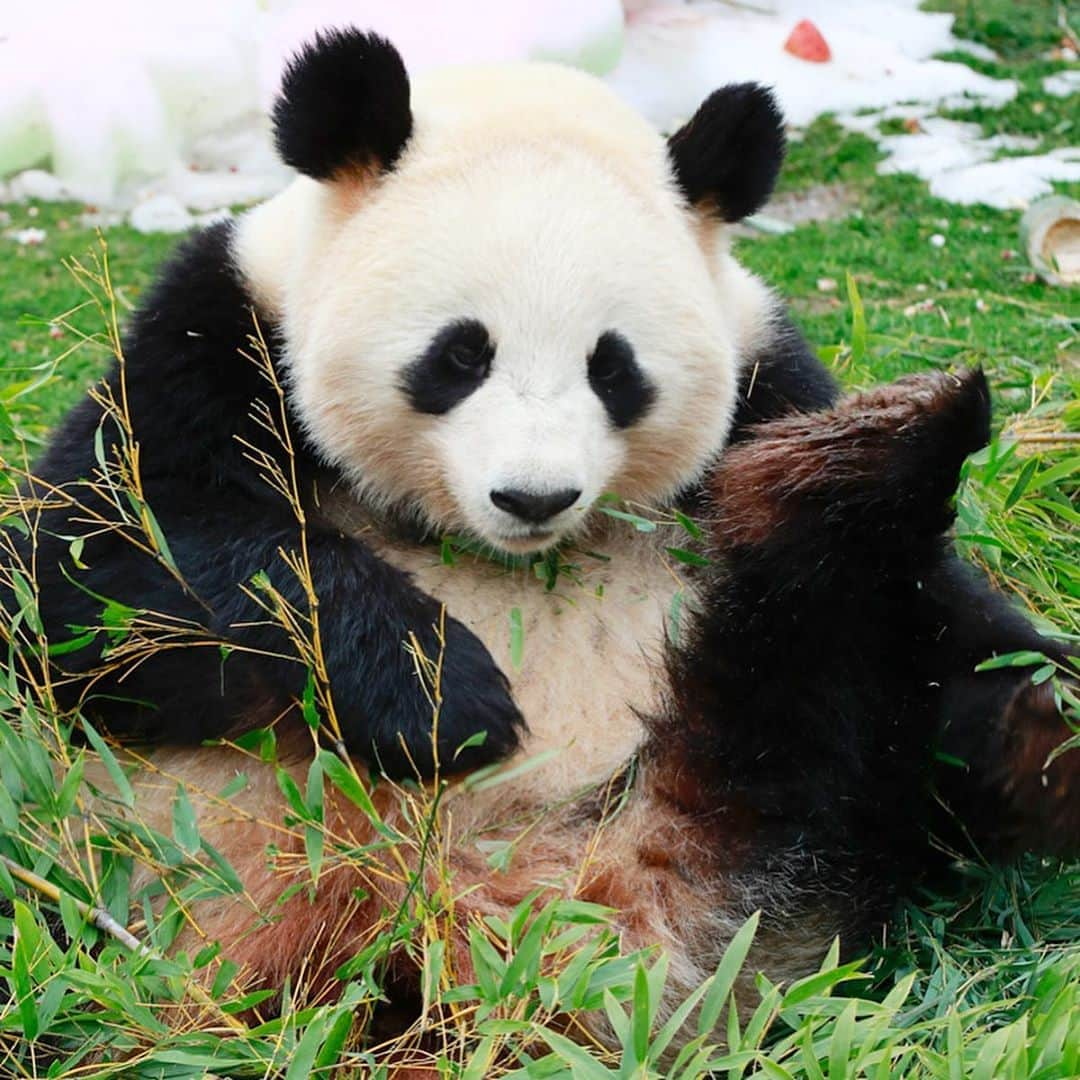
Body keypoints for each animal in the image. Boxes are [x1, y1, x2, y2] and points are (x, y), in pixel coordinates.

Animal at [10, 29, 1080, 1067]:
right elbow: (91, 571)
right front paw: (444, 699)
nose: (534, 496)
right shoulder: (222, 334)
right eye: (459, 353)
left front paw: (1048, 717)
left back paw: (875, 476)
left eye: (614, 368)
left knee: (836, 665)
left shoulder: (765, 387)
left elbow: (958, 631)